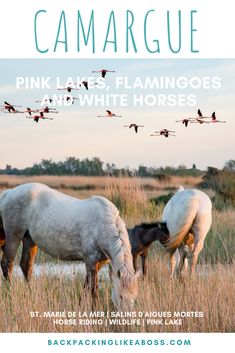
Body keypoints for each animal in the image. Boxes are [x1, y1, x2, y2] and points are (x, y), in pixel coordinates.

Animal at [0, 183, 139, 310]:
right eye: (121, 296)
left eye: (134, 297)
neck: (104, 224)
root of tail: (8, 193)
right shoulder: (91, 260)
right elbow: (93, 288)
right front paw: (95, 309)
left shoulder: (100, 263)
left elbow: (86, 285)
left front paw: (80, 305)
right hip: (14, 236)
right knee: (7, 264)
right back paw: (11, 295)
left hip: (29, 239)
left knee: (26, 265)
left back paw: (32, 294)